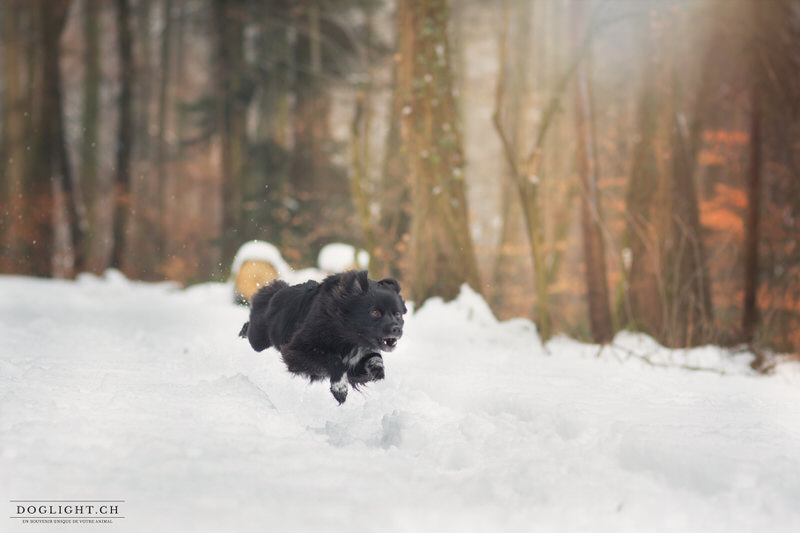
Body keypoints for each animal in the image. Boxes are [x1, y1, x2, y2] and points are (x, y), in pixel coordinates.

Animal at [234, 270, 404, 404]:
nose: (397, 328)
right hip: (259, 338)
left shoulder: (355, 367)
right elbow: (333, 360)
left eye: (397, 314)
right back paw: (243, 330)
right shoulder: (295, 351)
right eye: (375, 312)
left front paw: (377, 368)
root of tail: (282, 290)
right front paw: (340, 389)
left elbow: (374, 357)